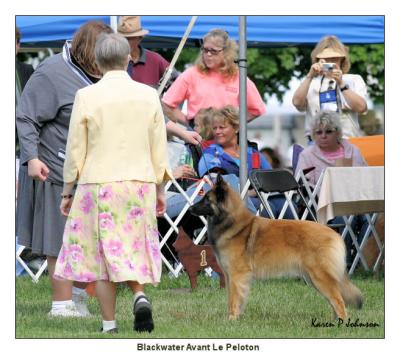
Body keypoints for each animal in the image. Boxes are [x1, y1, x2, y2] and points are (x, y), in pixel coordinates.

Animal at [189, 174, 360, 320]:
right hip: (314, 278)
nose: (190, 209)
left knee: (338, 301)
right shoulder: (229, 275)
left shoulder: (237, 275)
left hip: (319, 277)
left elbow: (234, 300)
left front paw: (232, 319)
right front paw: (233, 318)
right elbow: (231, 299)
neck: (231, 223)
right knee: (335, 301)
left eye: (206, 200)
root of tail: (334, 233)